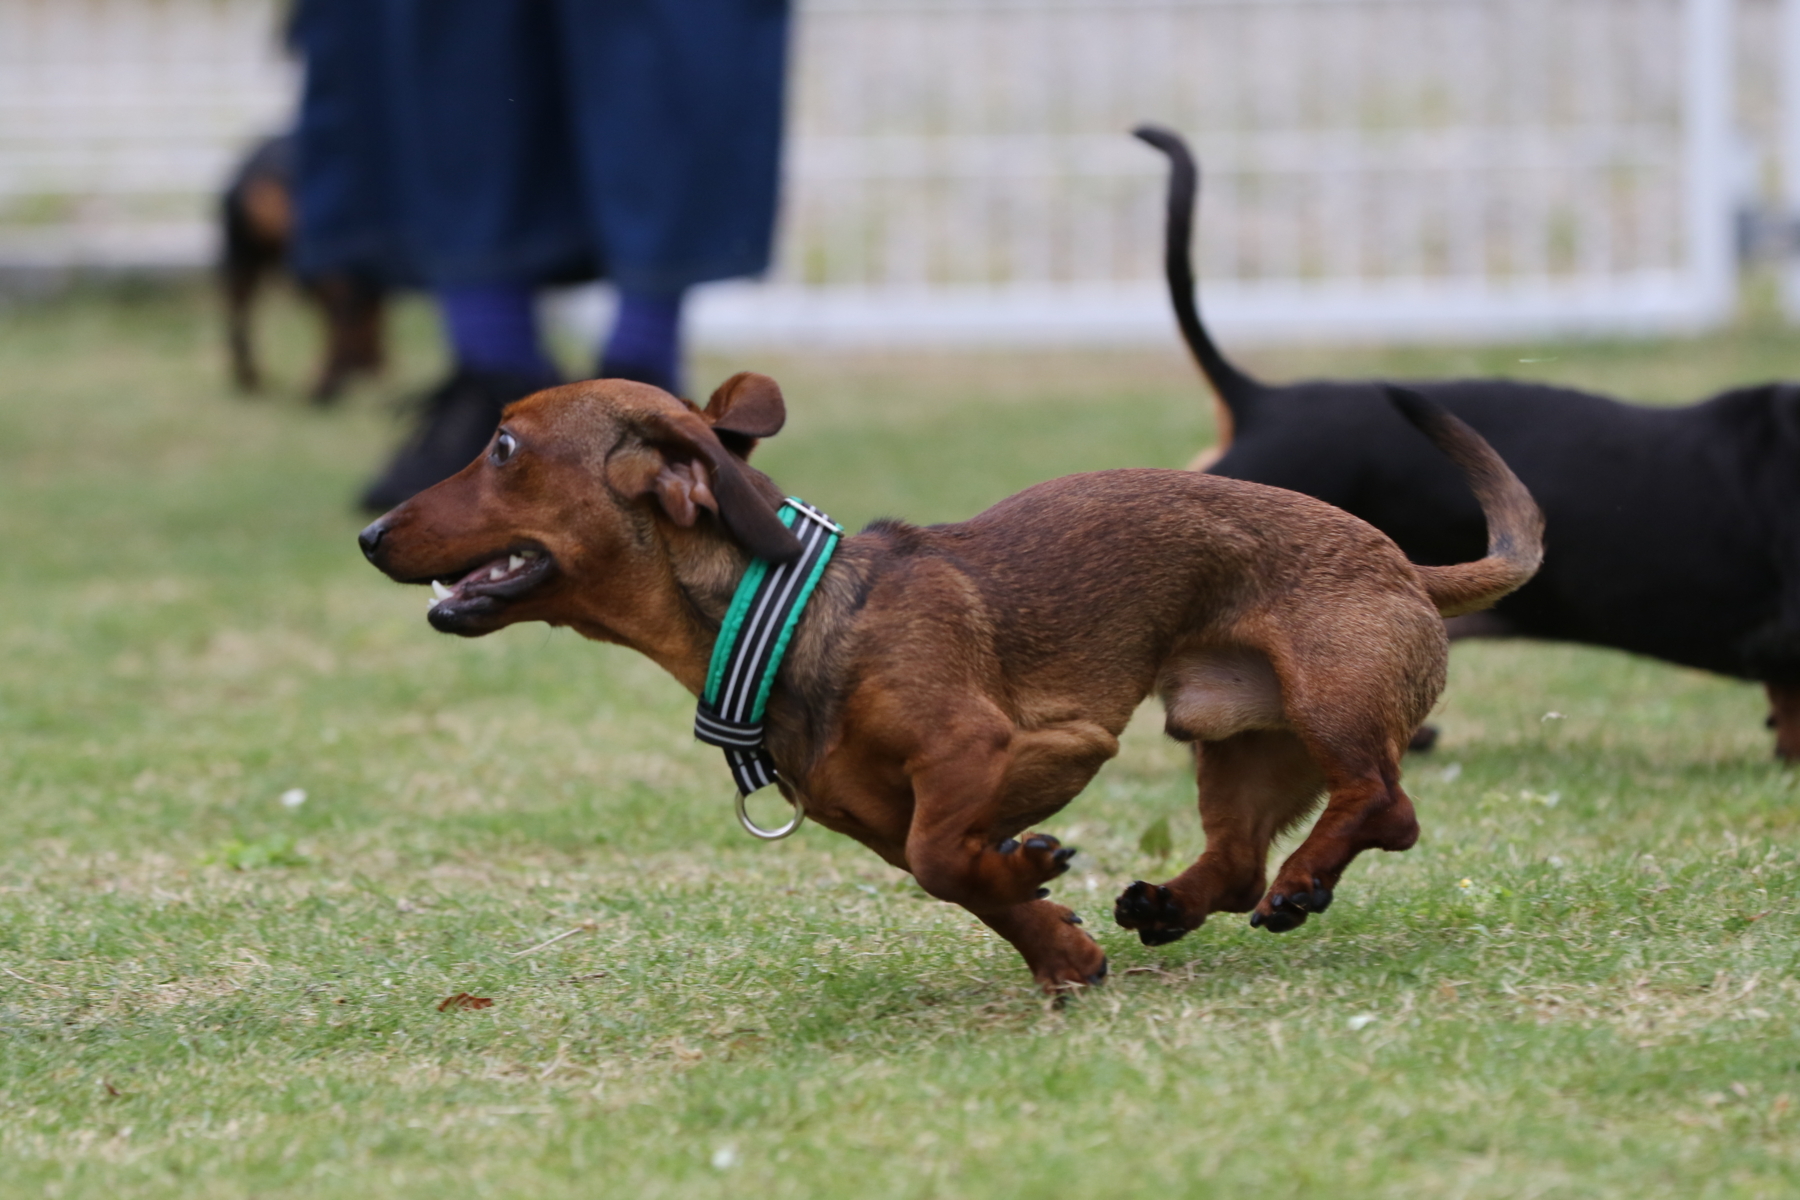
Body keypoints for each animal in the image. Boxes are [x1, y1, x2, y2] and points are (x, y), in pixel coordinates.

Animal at [221, 134, 383, 401]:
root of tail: (265, 170)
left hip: (242, 257)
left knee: (239, 312)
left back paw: (251, 379)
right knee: (339, 310)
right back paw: (326, 386)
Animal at [358, 376, 1540, 993]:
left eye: (503, 447)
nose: (368, 534)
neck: (793, 613)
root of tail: (1407, 566)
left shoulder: (987, 752)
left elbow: (945, 855)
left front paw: (1039, 888)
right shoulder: (877, 822)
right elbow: (957, 877)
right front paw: (1057, 939)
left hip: (1330, 703)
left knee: (1384, 807)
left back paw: (1305, 881)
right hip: (1234, 739)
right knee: (1243, 856)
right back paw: (1171, 904)